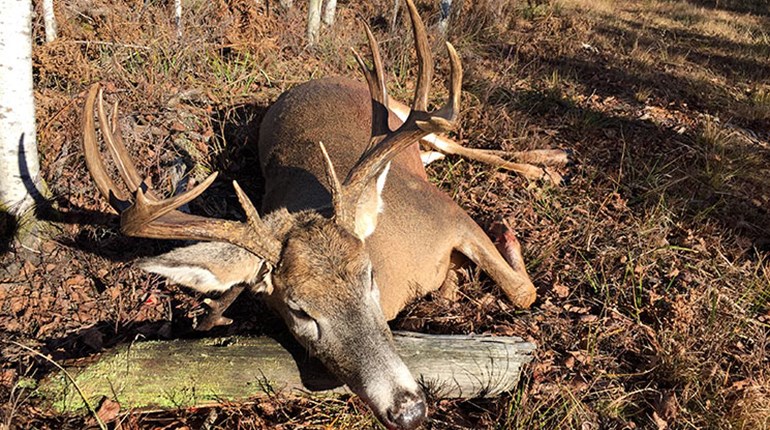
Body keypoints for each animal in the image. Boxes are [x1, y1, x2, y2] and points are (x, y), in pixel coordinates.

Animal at [81, 1, 541, 428]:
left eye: (369, 276)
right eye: (299, 310)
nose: (409, 411)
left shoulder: (448, 212)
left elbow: (523, 292)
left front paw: (501, 238)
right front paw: (453, 281)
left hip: (411, 116)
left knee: (452, 139)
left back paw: (542, 166)